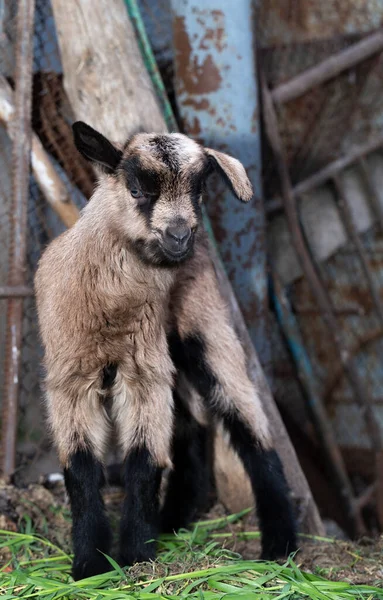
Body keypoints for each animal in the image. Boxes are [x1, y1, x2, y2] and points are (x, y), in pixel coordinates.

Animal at [35, 120, 296, 576]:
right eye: (137, 188)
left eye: (198, 190)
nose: (179, 235)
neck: (112, 314)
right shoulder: (71, 376)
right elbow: (81, 470)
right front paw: (90, 565)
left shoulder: (143, 371)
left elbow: (143, 462)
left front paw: (135, 557)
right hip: (171, 351)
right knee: (192, 427)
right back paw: (174, 518)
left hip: (205, 329)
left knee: (248, 423)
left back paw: (279, 542)